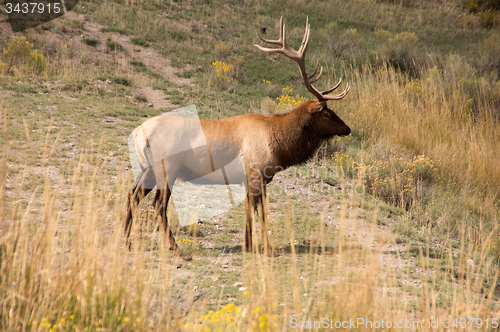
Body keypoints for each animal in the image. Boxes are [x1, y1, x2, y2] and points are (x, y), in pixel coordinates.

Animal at [125, 16, 352, 254]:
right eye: (327, 112)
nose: (347, 128)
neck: (278, 143)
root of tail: (139, 132)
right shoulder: (256, 173)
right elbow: (261, 211)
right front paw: (267, 248)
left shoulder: (247, 179)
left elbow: (248, 210)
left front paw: (248, 244)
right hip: (167, 167)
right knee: (158, 204)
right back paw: (173, 246)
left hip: (147, 168)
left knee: (133, 196)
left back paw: (126, 240)